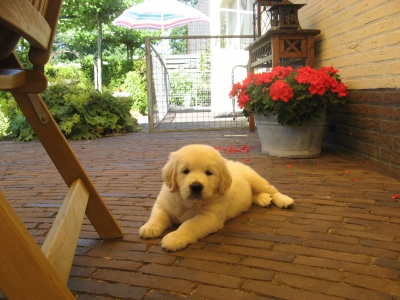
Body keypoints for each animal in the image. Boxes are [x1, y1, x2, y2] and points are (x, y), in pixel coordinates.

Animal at [140, 144, 294, 251]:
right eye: (185, 171)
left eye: (209, 173)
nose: (196, 186)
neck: (188, 203)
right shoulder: (163, 205)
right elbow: (157, 216)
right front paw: (149, 227)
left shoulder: (210, 217)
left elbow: (189, 224)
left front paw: (175, 238)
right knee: (253, 195)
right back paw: (263, 199)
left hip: (255, 178)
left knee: (271, 189)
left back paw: (284, 200)